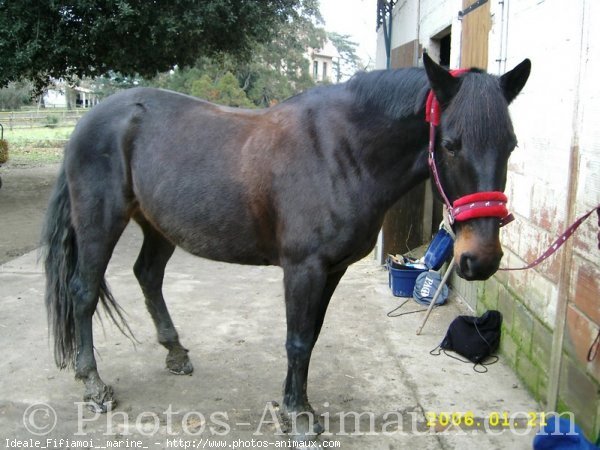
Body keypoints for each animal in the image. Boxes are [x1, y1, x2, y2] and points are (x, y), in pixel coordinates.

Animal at [42, 54, 528, 438]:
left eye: (511, 144)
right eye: (450, 144)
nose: (481, 258)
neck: (342, 152)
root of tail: (90, 120)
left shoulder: (333, 269)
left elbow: (310, 337)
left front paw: (295, 402)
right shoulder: (303, 268)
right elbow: (296, 340)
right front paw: (298, 415)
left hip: (158, 226)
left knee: (147, 276)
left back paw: (175, 353)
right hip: (101, 222)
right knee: (84, 292)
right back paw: (93, 384)